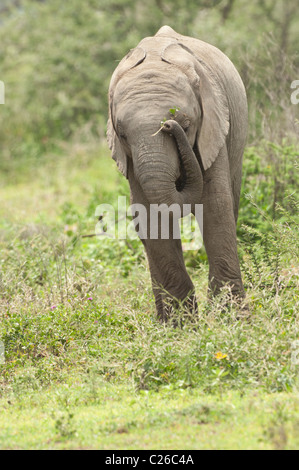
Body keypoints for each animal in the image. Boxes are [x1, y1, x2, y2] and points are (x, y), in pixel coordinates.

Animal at [108, 24, 248, 320]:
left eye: (186, 125)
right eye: (122, 135)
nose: (169, 124)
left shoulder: (213, 128)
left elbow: (215, 206)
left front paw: (232, 320)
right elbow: (151, 216)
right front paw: (181, 325)